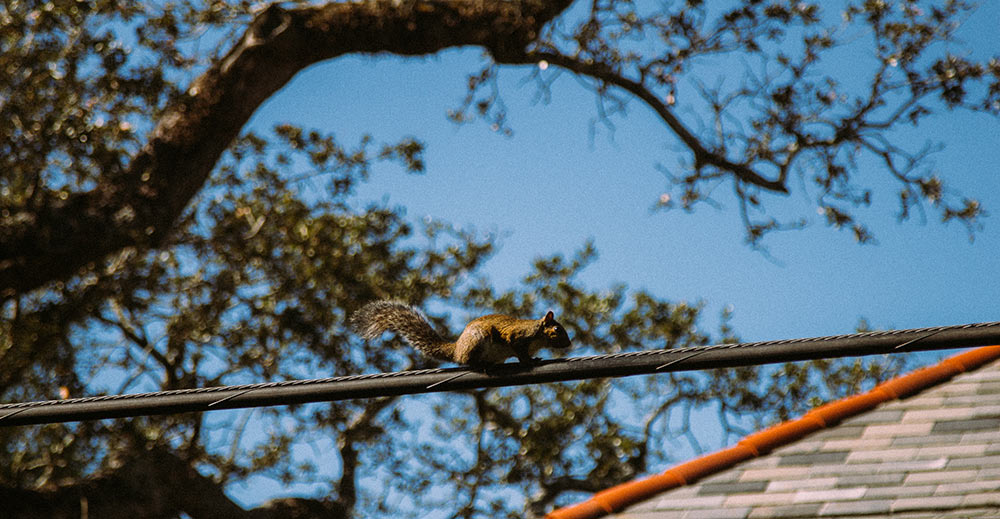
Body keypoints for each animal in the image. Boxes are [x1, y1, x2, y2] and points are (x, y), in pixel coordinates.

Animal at [350, 298, 572, 368]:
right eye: (557, 329)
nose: (569, 344)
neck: (538, 339)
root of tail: (456, 348)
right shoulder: (517, 336)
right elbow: (520, 352)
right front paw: (530, 361)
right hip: (478, 340)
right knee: (467, 360)